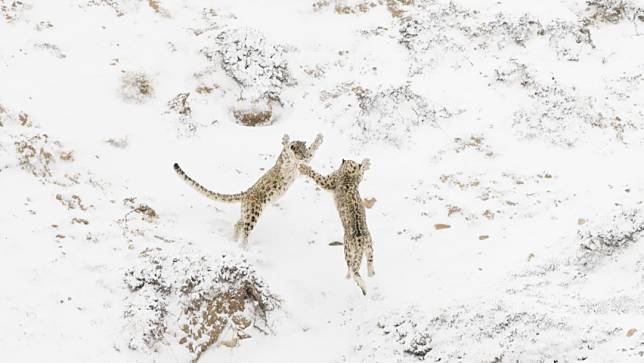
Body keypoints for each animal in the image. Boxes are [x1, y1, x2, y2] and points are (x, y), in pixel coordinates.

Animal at [174, 134, 322, 247]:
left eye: (304, 150)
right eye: (300, 151)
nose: (304, 155)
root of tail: (246, 193)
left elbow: (311, 154)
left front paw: (318, 140)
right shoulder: (288, 163)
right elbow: (288, 151)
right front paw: (288, 140)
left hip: (246, 212)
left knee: (238, 224)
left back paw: (233, 240)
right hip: (253, 213)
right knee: (245, 231)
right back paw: (244, 247)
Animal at [300, 159, 374, 296]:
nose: (343, 159)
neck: (347, 174)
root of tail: (361, 241)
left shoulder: (328, 181)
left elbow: (316, 175)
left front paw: (302, 167)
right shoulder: (357, 179)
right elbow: (361, 174)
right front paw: (365, 163)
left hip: (348, 250)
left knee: (353, 268)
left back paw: (355, 281)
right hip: (370, 246)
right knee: (369, 261)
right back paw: (371, 273)